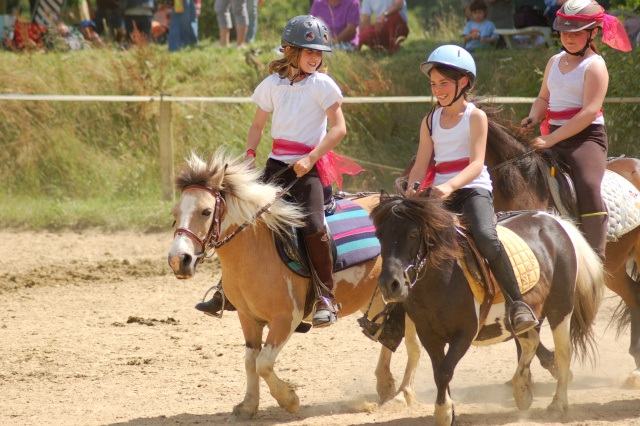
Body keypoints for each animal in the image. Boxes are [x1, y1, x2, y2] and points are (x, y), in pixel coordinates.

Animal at [168, 151, 422, 422]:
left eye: (206, 211)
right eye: (175, 213)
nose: (178, 260)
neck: (256, 248)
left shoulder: (286, 318)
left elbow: (263, 363)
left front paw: (289, 399)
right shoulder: (248, 319)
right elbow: (250, 362)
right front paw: (248, 406)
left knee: (413, 346)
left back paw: (403, 394)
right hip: (376, 301)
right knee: (386, 335)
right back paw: (385, 385)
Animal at [370, 193, 604, 426]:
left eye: (412, 233)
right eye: (379, 235)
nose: (390, 284)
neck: (442, 278)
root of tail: (555, 221)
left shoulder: (465, 332)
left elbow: (444, 371)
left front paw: (443, 413)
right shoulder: (429, 335)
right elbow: (439, 371)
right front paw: (448, 411)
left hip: (560, 307)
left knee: (563, 352)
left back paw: (557, 405)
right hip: (531, 313)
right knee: (530, 342)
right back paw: (522, 391)